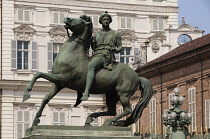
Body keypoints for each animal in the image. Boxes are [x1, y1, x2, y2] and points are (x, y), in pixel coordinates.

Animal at [22, 14, 153, 127]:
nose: (67, 18)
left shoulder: (63, 78)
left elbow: (38, 74)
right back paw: (91, 118)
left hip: (123, 94)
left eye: (81, 20)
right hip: (111, 94)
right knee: (112, 111)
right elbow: (45, 98)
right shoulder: (58, 83)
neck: (73, 55)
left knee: (127, 110)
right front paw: (35, 120)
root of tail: (136, 75)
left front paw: (26, 93)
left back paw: (107, 121)